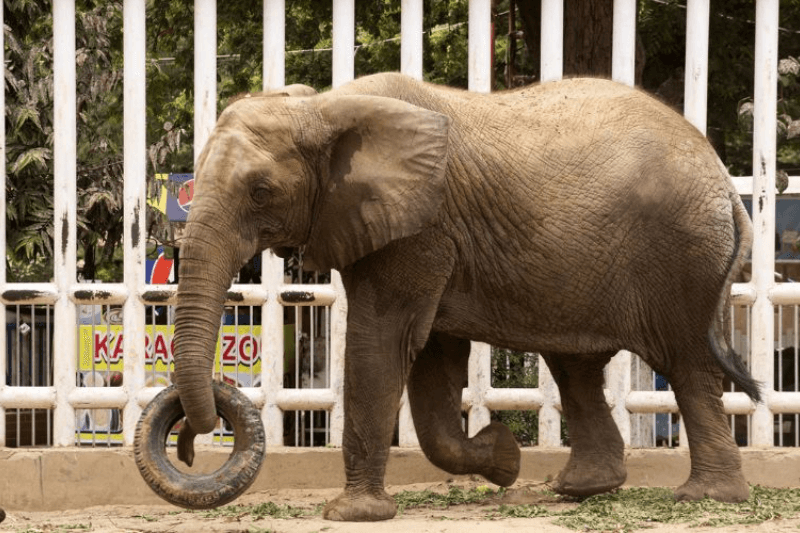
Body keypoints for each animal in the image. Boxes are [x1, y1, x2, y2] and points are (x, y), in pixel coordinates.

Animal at [134, 70, 760, 520]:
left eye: (261, 192)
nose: (189, 442)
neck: (325, 106)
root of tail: (727, 185)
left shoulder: (421, 229)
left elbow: (381, 343)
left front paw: (350, 514)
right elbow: (431, 363)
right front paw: (504, 459)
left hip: (681, 257)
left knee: (687, 365)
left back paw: (706, 499)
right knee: (576, 367)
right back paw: (575, 490)